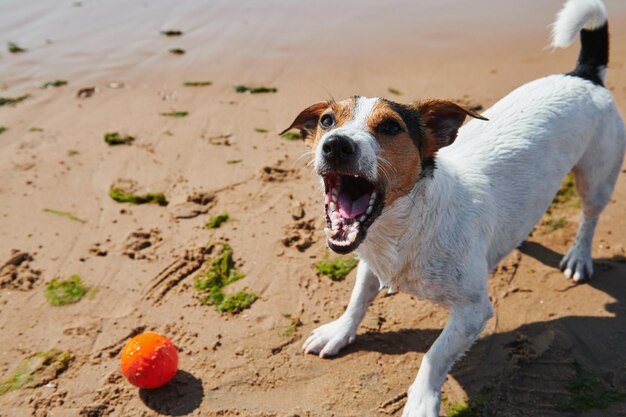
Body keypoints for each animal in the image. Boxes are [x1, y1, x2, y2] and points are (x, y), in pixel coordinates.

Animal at [282, 1, 620, 414]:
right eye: (327, 121)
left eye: (391, 127)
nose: (336, 145)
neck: (403, 230)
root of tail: (584, 76)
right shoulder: (368, 261)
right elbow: (358, 298)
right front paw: (340, 330)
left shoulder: (474, 311)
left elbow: (435, 353)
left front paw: (422, 398)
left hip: (597, 177)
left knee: (589, 217)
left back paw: (579, 255)